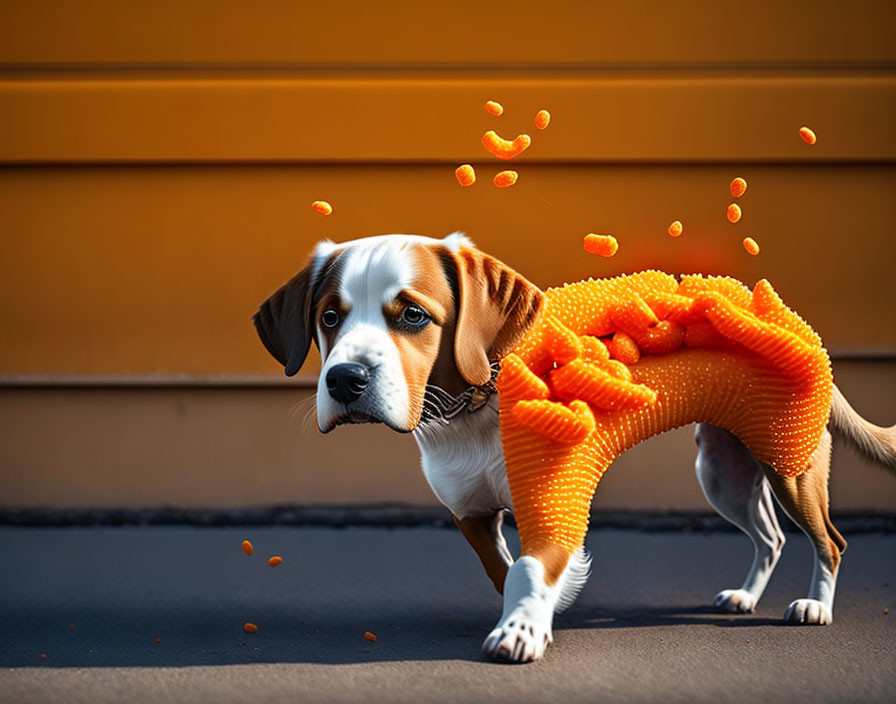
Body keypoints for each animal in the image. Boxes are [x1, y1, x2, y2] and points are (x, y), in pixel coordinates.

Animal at [254, 231, 896, 660]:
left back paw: (816, 607)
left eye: (412, 314)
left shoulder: (555, 504)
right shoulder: (471, 513)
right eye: (329, 318)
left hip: (790, 465)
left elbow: (529, 566)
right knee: (769, 535)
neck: (474, 408)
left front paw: (522, 628)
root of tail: (795, 324)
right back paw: (746, 595)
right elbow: (504, 570)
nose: (346, 380)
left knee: (830, 541)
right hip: (725, 472)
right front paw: (539, 612)